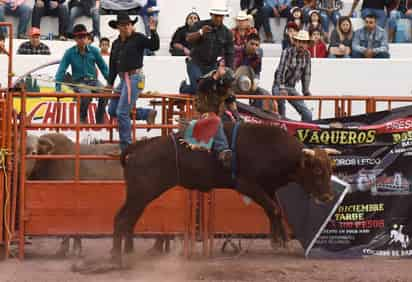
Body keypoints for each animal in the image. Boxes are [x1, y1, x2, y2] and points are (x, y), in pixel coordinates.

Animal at [112, 122, 338, 264]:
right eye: (317, 170)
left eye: (330, 170)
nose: (327, 197)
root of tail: (141, 146)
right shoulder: (247, 185)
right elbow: (273, 209)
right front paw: (281, 241)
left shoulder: (268, 188)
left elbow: (274, 210)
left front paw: (279, 240)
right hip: (141, 193)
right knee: (123, 220)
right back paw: (117, 258)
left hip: (138, 196)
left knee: (126, 219)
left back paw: (127, 253)